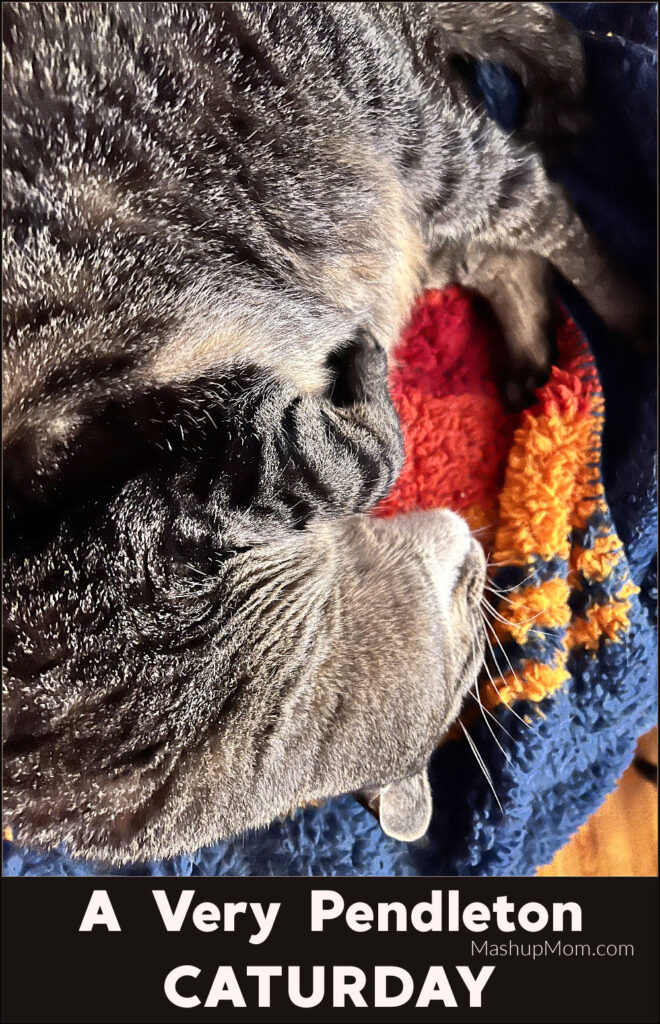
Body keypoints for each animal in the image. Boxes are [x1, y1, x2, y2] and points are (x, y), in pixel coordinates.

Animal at [1, 4, 642, 860]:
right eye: (473, 611)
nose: (482, 559)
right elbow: (372, 449)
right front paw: (371, 377)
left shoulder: (208, 486)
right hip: (400, 209)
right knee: (504, 246)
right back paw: (529, 351)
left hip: (415, 143)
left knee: (548, 207)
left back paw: (634, 315)